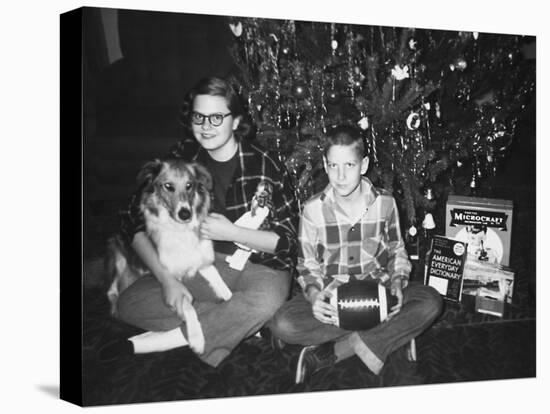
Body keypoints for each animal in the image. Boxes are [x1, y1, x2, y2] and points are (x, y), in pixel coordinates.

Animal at [105, 158, 233, 352]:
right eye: (168, 186)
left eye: (189, 185)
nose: (185, 213)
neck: (181, 230)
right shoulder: (173, 280)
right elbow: (188, 306)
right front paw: (196, 338)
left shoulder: (204, 262)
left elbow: (226, 290)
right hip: (118, 259)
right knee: (112, 291)